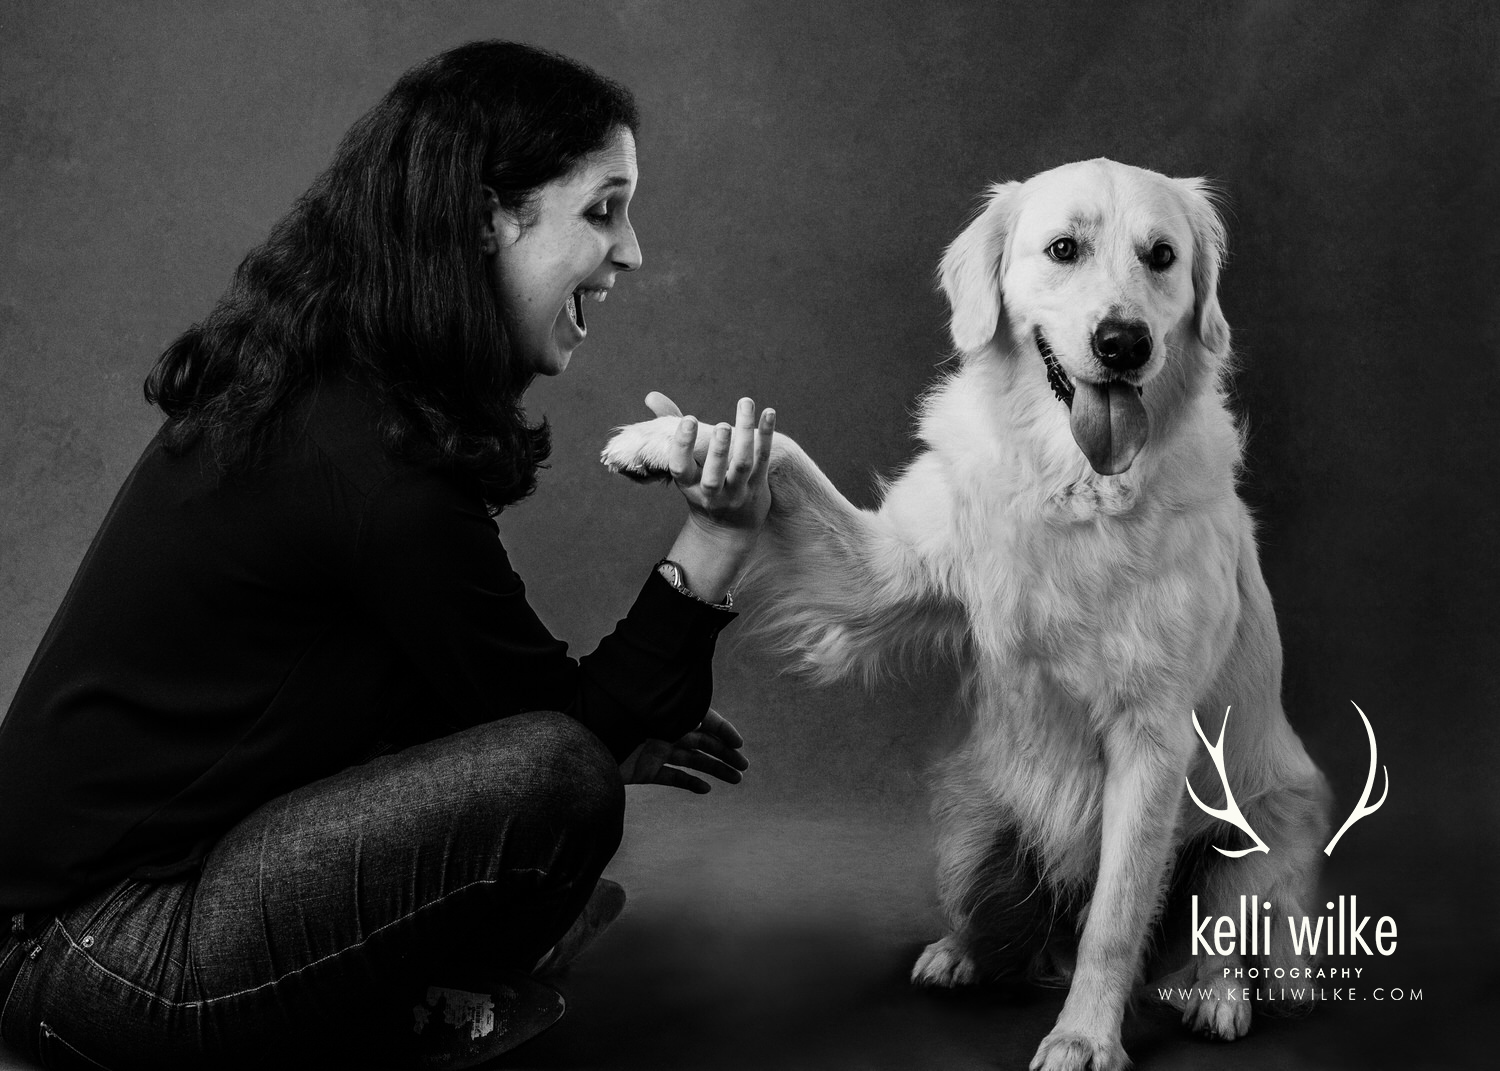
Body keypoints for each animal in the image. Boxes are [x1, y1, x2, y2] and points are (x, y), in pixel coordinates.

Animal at [603, 160, 1332, 1068]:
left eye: (1161, 256)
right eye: (1064, 249)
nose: (1124, 342)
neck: (1071, 484)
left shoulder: (1155, 731)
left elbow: (1116, 915)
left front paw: (1085, 1036)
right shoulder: (883, 571)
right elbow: (783, 456)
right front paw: (677, 439)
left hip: (1265, 827)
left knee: (1221, 934)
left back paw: (1217, 998)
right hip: (971, 819)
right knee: (1011, 924)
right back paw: (964, 952)